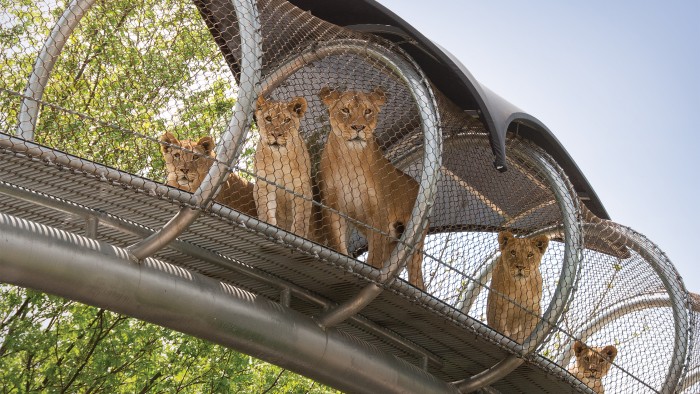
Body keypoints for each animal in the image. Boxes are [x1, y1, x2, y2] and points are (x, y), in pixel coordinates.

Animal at [254, 95, 312, 237]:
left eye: (287, 120)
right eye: (268, 118)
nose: (276, 134)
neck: (280, 157)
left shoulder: (301, 187)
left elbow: (301, 217)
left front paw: (298, 235)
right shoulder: (264, 183)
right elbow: (265, 208)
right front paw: (268, 226)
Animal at [318, 87, 426, 290]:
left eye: (368, 111)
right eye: (345, 110)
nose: (359, 127)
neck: (350, 158)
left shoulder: (378, 214)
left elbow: (374, 260)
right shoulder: (333, 207)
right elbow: (338, 245)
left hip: (413, 244)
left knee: (416, 279)